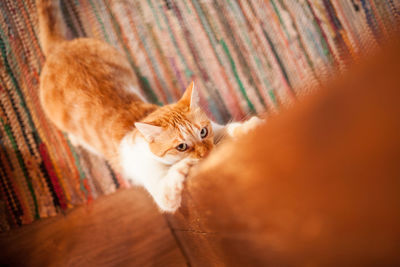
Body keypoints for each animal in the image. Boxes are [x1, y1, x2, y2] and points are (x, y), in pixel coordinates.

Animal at [36, 0, 262, 214]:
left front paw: (251, 127)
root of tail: (59, 48)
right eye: (181, 147)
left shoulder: (216, 128)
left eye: (203, 132)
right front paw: (185, 165)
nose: (206, 154)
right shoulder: (161, 192)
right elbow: (170, 184)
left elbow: (231, 128)